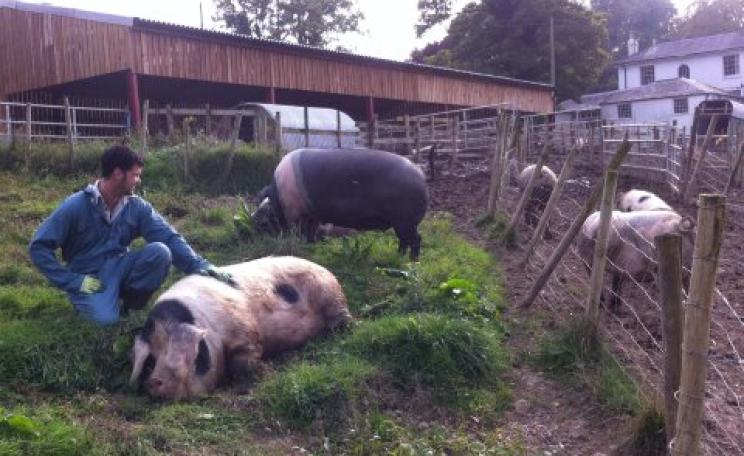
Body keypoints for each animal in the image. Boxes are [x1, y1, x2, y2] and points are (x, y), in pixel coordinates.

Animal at [129, 256, 351, 399]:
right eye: (151, 360)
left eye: (171, 351)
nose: (153, 381)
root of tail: (321, 266)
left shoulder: (243, 327)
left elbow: (243, 358)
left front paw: (266, 372)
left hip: (328, 293)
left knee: (341, 317)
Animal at [252, 147, 429, 260]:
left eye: (264, 218)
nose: (252, 221)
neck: (277, 196)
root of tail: (420, 174)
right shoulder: (312, 215)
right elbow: (310, 230)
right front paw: (310, 245)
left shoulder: (295, 213)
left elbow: (297, 231)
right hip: (402, 223)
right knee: (405, 240)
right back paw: (398, 256)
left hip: (406, 221)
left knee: (416, 239)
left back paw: (412, 260)